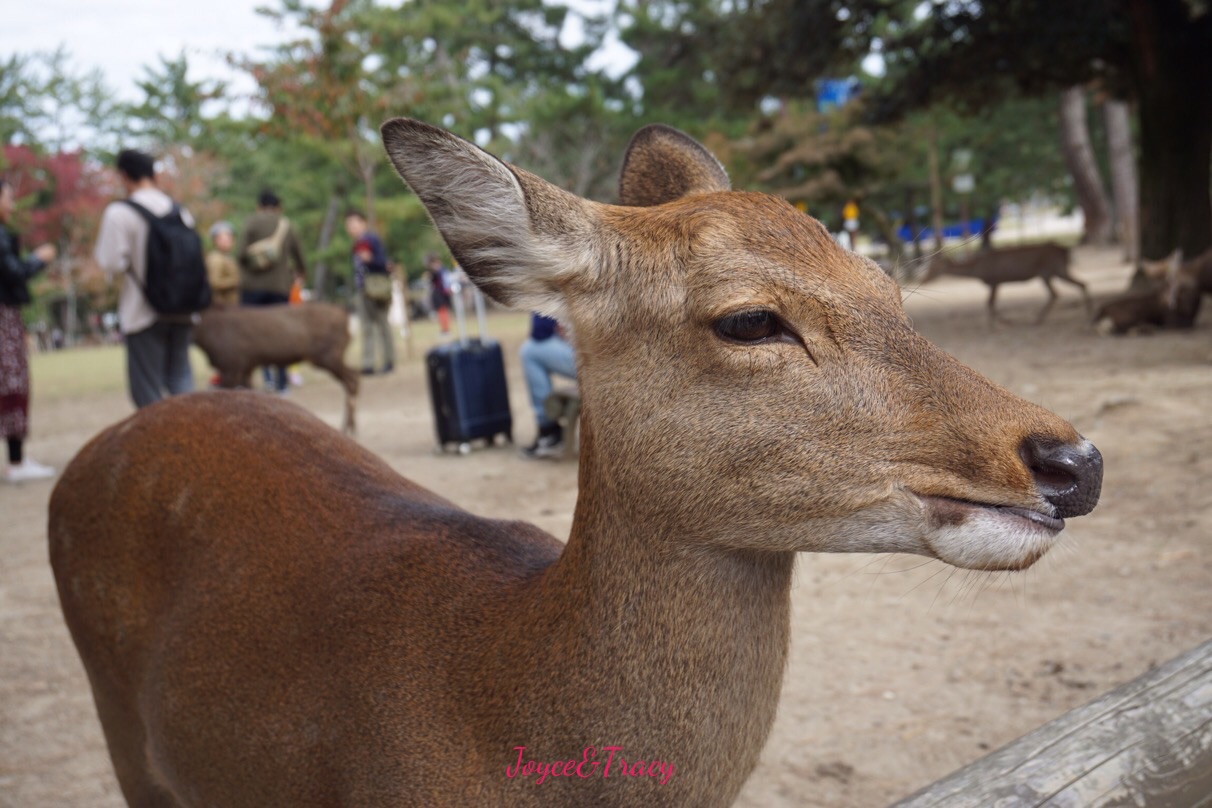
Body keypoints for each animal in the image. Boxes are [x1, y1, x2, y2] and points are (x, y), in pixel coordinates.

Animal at [191, 300, 356, 433]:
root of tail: (345, 315)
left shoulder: (232, 365)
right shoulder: (246, 366)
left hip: (329, 355)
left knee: (352, 381)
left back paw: (346, 427)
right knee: (352, 379)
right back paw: (349, 426)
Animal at [921, 243, 1095, 324]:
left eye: (934, 267)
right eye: (927, 265)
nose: (923, 279)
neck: (978, 269)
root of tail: (1065, 250)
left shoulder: (995, 281)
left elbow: (990, 302)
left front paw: (999, 324)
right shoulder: (996, 283)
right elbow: (990, 303)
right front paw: (1002, 322)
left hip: (1053, 270)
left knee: (1068, 288)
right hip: (1053, 272)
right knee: (1073, 287)